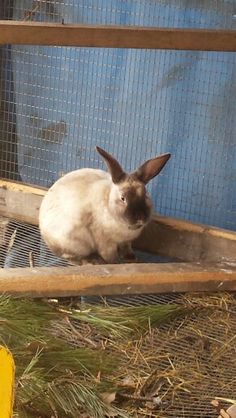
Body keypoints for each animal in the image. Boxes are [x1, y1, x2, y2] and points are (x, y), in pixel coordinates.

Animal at [39, 147, 171, 264]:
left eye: (145, 195)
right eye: (123, 198)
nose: (140, 217)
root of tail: (47, 240)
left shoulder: (126, 242)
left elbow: (127, 248)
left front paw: (132, 258)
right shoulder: (105, 242)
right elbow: (110, 256)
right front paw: (116, 263)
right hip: (73, 243)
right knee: (70, 256)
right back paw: (93, 261)